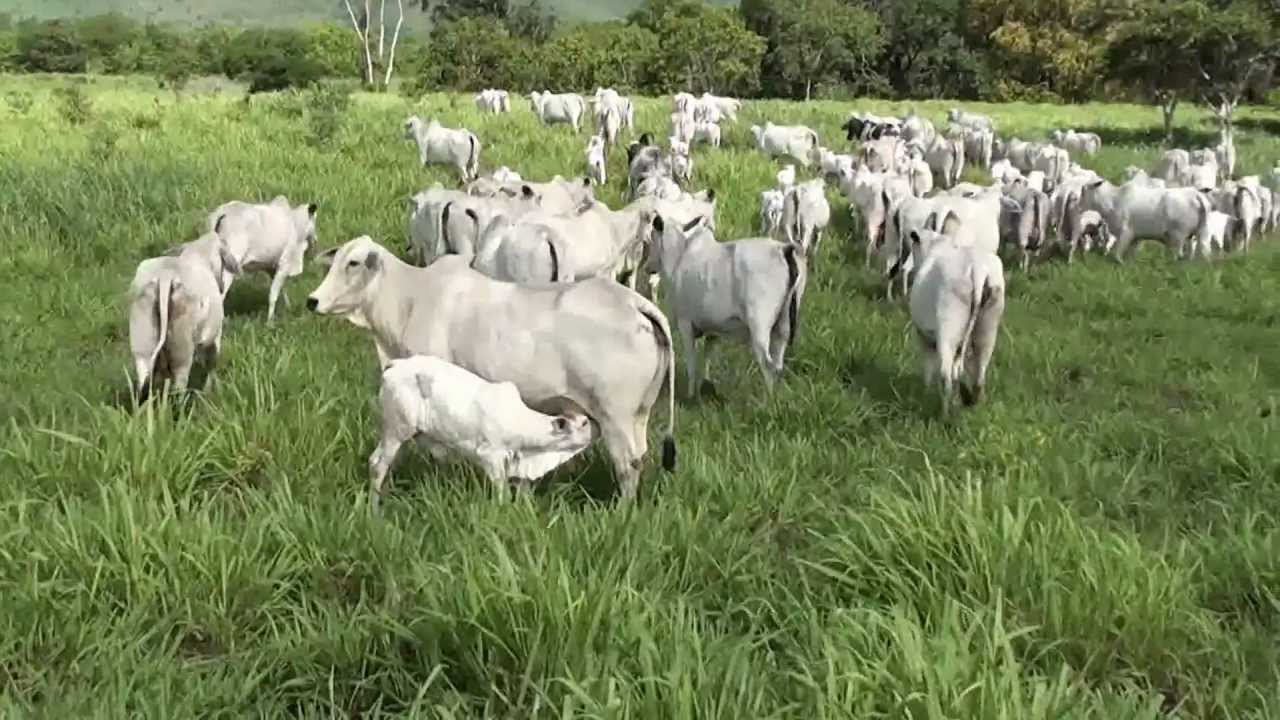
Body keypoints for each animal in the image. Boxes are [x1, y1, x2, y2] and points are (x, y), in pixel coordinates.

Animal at [368, 355, 595, 510]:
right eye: (584, 423)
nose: (596, 430)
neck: (519, 422)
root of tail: (395, 365)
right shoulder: (491, 457)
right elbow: (502, 492)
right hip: (396, 429)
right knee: (379, 465)